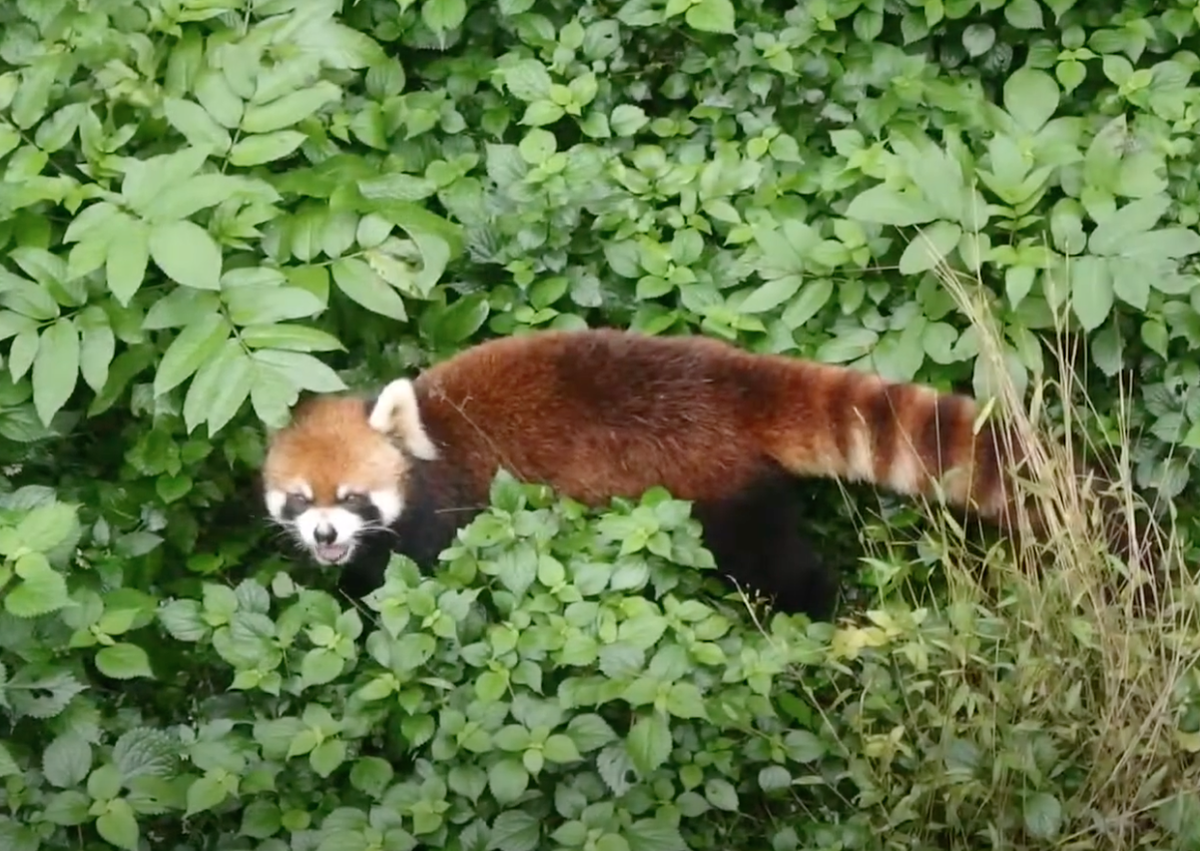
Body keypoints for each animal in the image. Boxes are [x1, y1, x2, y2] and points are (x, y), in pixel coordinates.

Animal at [260, 326, 1060, 619]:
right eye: (299, 500)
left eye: (354, 497)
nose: (325, 533)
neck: (431, 441)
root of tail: (727, 379)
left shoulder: (453, 516)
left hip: (715, 496)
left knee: (773, 563)